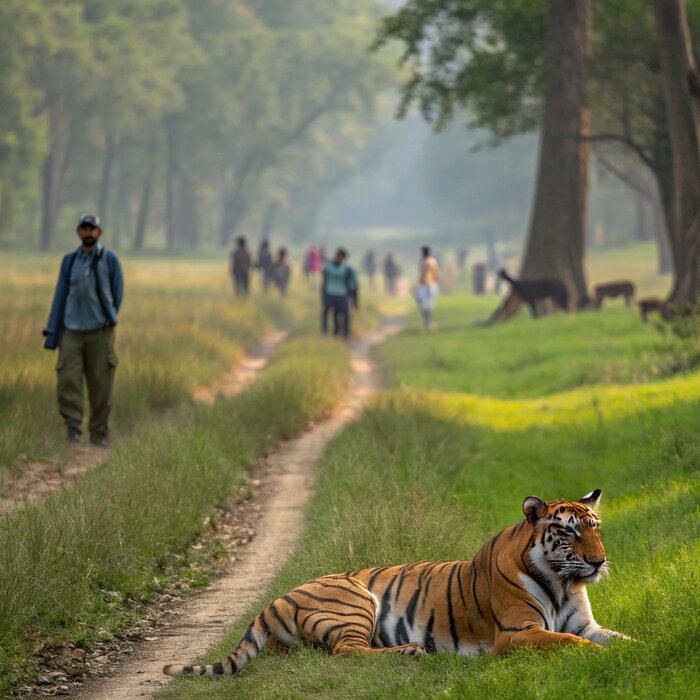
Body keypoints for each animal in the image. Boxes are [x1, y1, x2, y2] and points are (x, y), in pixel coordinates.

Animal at [164, 486, 628, 680]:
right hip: (355, 601)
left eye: (595, 528)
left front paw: (636, 649)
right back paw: (410, 651)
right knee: (346, 653)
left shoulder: (586, 623)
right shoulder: (516, 633)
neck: (563, 582)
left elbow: (618, 638)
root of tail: (277, 597)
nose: (599, 561)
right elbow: (568, 642)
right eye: (567, 533)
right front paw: (597, 657)